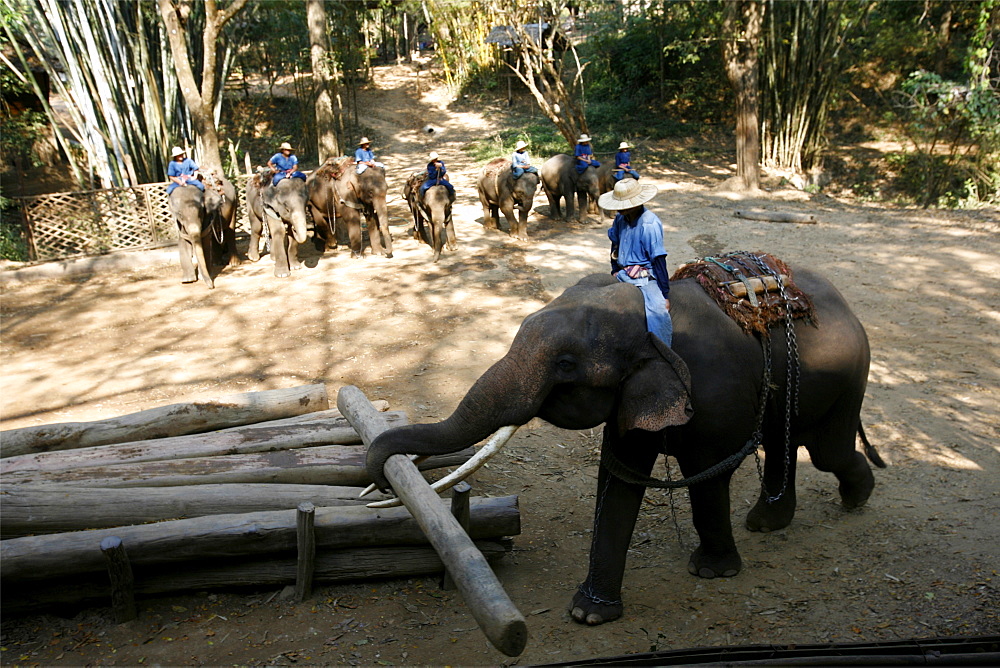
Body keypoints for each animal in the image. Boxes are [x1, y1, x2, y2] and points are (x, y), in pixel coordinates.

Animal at [368, 264, 884, 628]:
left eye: (567, 364)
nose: (382, 479)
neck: (650, 316)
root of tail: (845, 304)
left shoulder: (716, 393)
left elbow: (708, 473)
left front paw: (712, 573)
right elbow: (619, 476)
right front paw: (588, 614)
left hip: (847, 373)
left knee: (826, 450)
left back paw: (856, 499)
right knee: (787, 442)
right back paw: (768, 522)